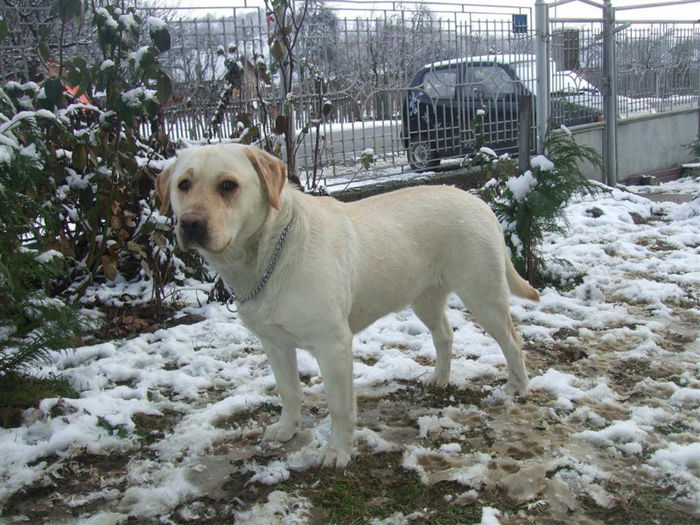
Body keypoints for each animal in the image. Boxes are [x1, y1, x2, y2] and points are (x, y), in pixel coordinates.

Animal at [156, 142, 540, 466]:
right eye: (184, 184)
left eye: (228, 185)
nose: (190, 223)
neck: (267, 255)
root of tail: (479, 202)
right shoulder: (275, 343)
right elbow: (289, 391)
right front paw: (287, 429)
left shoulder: (333, 345)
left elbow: (340, 407)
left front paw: (337, 452)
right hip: (425, 298)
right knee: (445, 335)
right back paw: (439, 379)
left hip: (483, 295)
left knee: (512, 341)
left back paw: (517, 387)